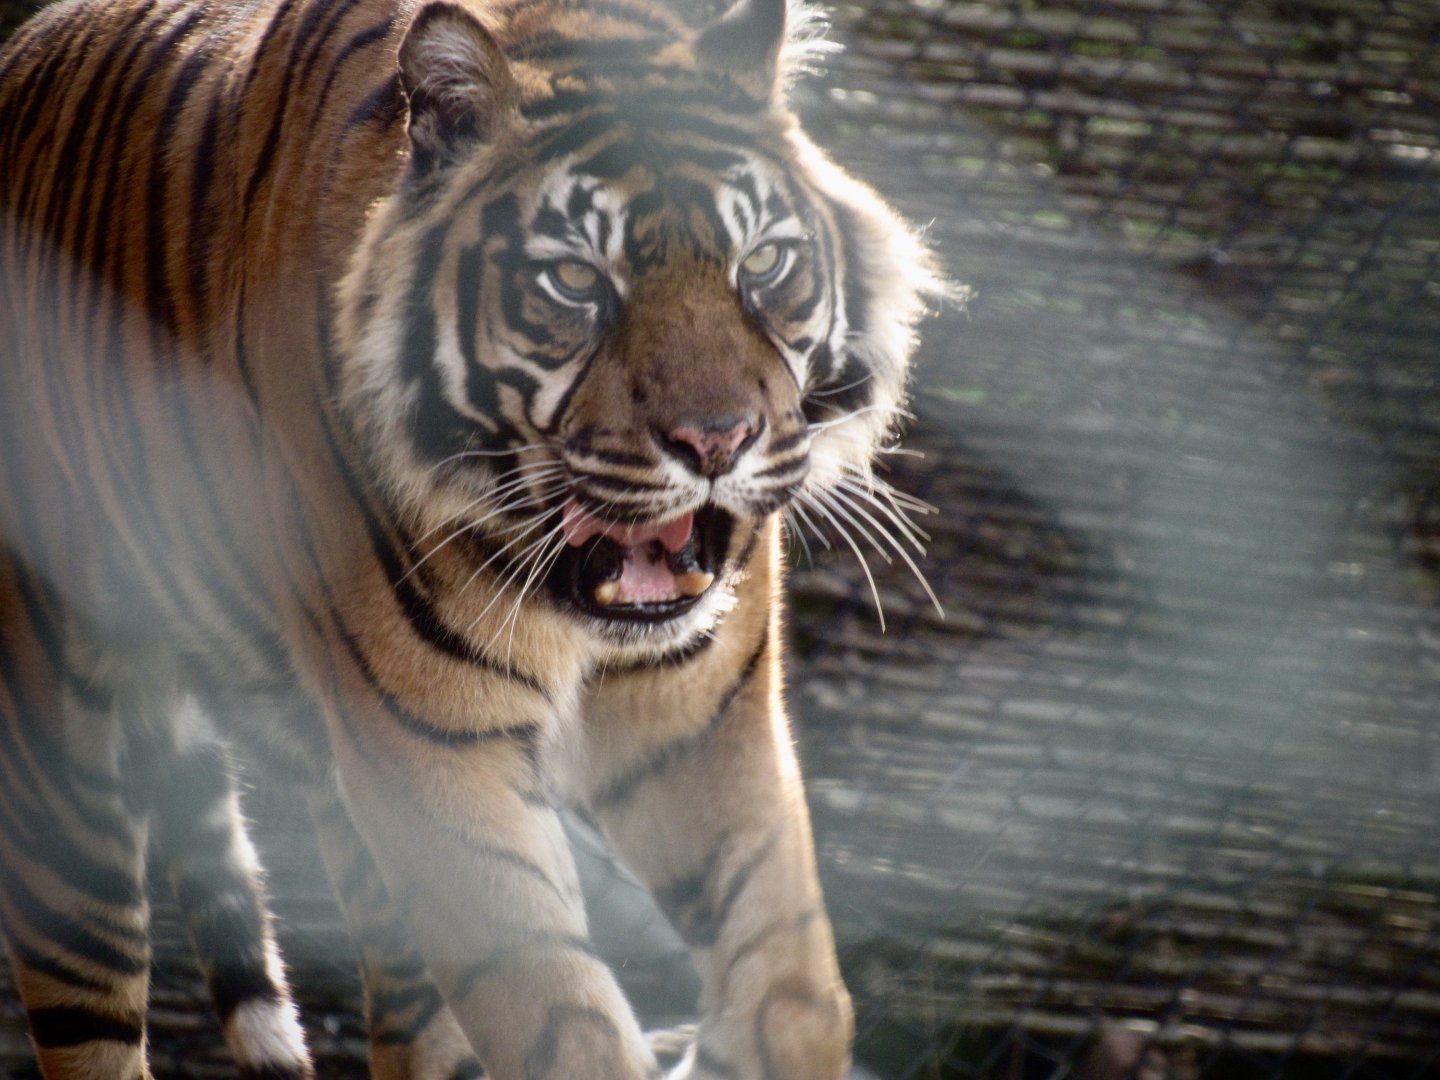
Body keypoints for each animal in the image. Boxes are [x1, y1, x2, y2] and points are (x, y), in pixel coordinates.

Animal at [0, 0, 943, 1076]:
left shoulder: (706, 717)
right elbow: (561, 1019)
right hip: (62, 773)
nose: (718, 441)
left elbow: (795, 992)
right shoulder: (433, 752)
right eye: (575, 280)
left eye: (763, 265)